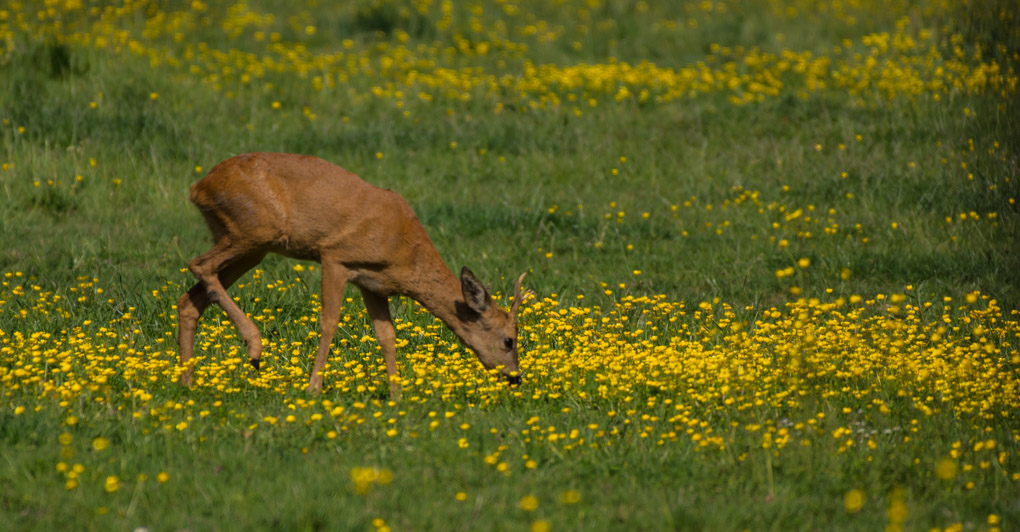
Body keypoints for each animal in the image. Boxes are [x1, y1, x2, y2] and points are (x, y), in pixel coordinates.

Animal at [176, 150, 530, 395]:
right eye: (509, 340)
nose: (515, 378)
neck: (404, 250)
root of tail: (198, 186)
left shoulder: (373, 283)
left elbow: (387, 335)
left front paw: (397, 395)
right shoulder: (335, 257)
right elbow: (329, 322)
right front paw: (313, 388)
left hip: (248, 245)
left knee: (190, 298)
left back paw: (187, 381)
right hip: (254, 230)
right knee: (198, 265)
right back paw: (254, 347)